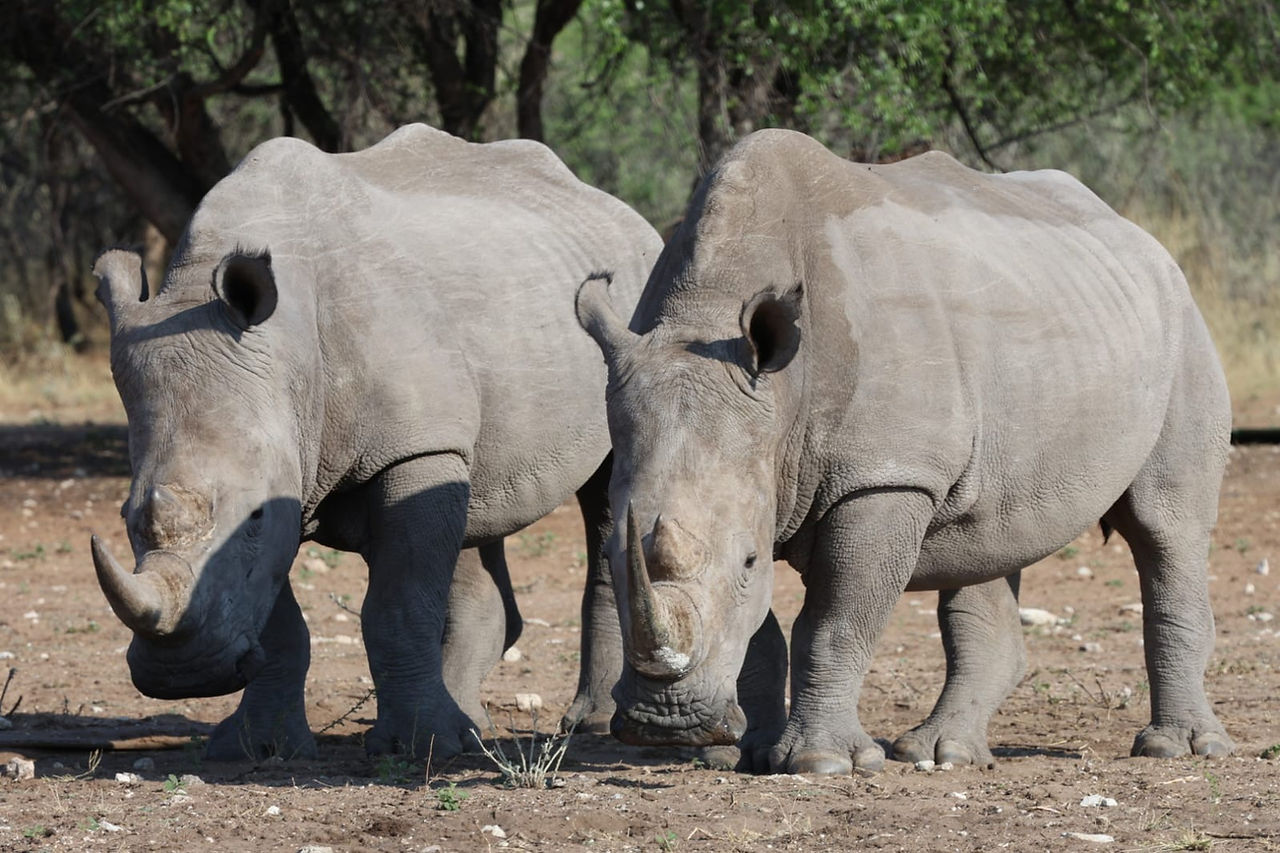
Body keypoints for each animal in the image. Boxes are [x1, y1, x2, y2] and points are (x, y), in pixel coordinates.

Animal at [90, 123, 661, 760]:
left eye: (254, 516)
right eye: (126, 517)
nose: (181, 675)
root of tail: (623, 212)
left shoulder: (410, 448)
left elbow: (398, 602)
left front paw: (420, 747)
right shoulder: (291, 458)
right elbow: (280, 618)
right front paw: (258, 747)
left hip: (633, 311)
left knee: (606, 494)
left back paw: (585, 725)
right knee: (476, 504)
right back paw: (471, 727)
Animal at [576, 128, 1234, 775]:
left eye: (747, 561)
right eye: (609, 555)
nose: (665, 723)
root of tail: (1142, 238)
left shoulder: (886, 475)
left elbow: (836, 619)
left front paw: (821, 763)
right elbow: (761, 633)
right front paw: (744, 753)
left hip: (1184, 332)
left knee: (1165, 526)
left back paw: (1179, 748)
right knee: (991, 538)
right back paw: (943, 753)